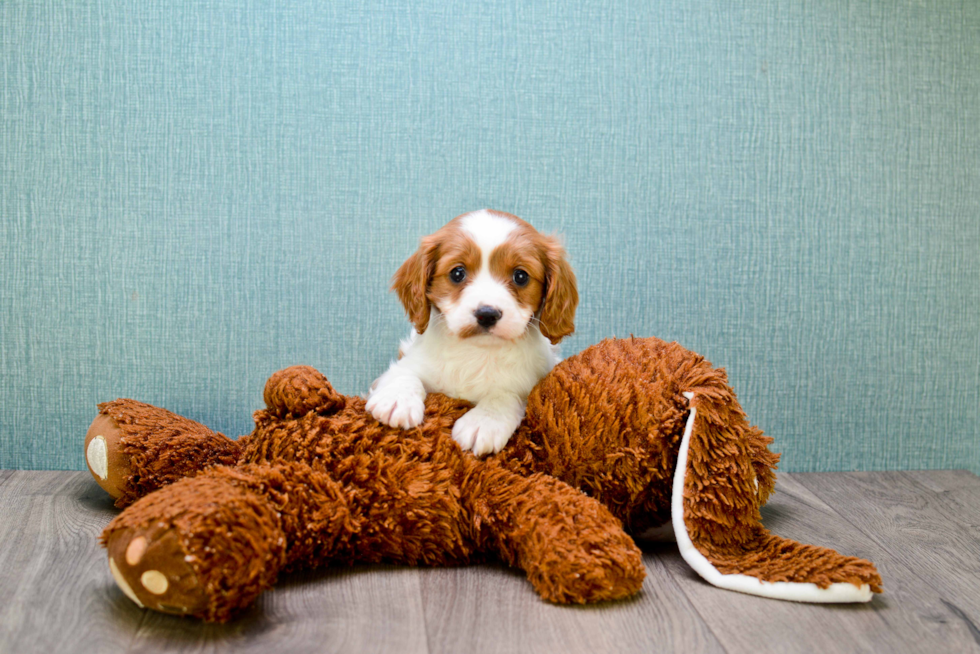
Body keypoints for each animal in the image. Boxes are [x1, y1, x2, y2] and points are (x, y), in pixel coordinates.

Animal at [366, 210, 580, 456]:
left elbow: (505, 395)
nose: (487, 314)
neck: (476, 351)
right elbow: (403, 374)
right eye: (457, 273)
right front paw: (395, 400)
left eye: (521, 276)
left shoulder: (530, 384)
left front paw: (483, 422)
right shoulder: (409, 362)